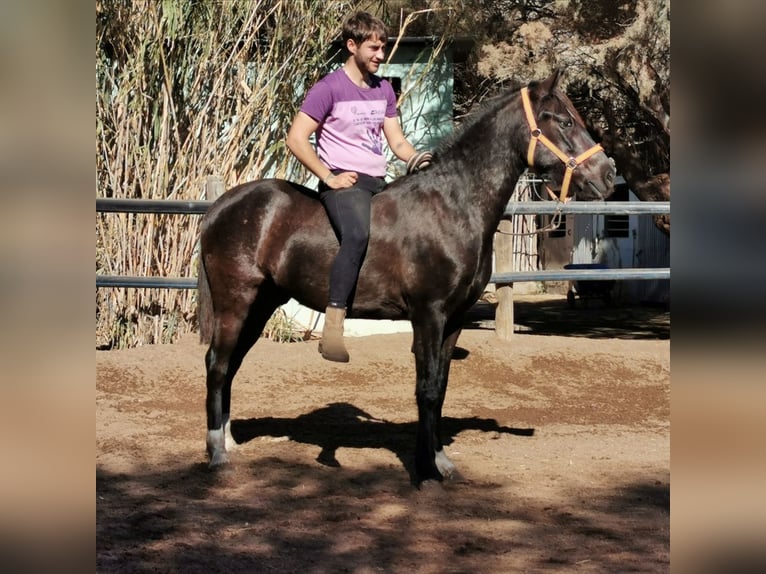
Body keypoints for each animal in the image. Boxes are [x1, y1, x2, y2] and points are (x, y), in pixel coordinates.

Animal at [198, 71, 616, 486]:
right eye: (564, 121)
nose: (608, 174)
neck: (453, 204)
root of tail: (222, 205)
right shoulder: (428, 314)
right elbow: (426, 389)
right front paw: (424, 470)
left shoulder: (455, 318)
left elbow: (441, 388)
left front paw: (439, 460)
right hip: (236, 301)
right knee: (217, 363)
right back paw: (217, 452)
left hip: (262, 304)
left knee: (231, 363)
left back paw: (229, 440)